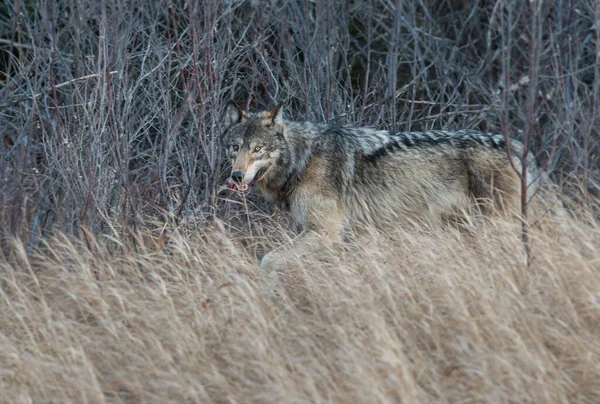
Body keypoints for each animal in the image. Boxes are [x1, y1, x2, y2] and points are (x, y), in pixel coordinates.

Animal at [223, 102, 540, 270]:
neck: (303, 159)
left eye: (258, 149)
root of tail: (518, 149)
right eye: (236, 147)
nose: (236, 176)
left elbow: (267, 260)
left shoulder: (325, 233)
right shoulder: (356, 235)